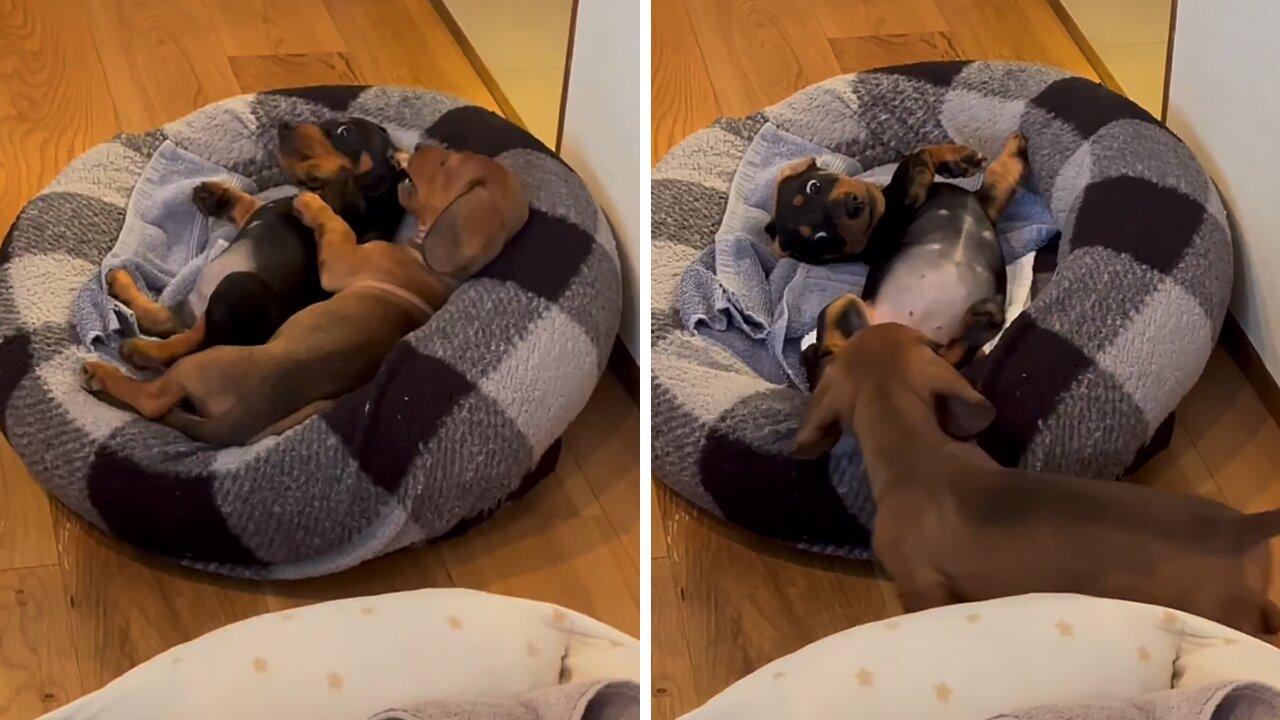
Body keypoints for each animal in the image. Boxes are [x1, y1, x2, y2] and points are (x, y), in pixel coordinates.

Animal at [81, 146, 529, 443]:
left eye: (444, 163)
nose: (412, 147)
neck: (433, 264)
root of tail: (244, 422)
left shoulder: (344, 261)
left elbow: (333, 224)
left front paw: (312, 204)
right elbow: (248, 204)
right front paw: (218, 195)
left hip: (219, 324)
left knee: (166, 374)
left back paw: (118, 365)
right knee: (176, 323)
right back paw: (124, 288)